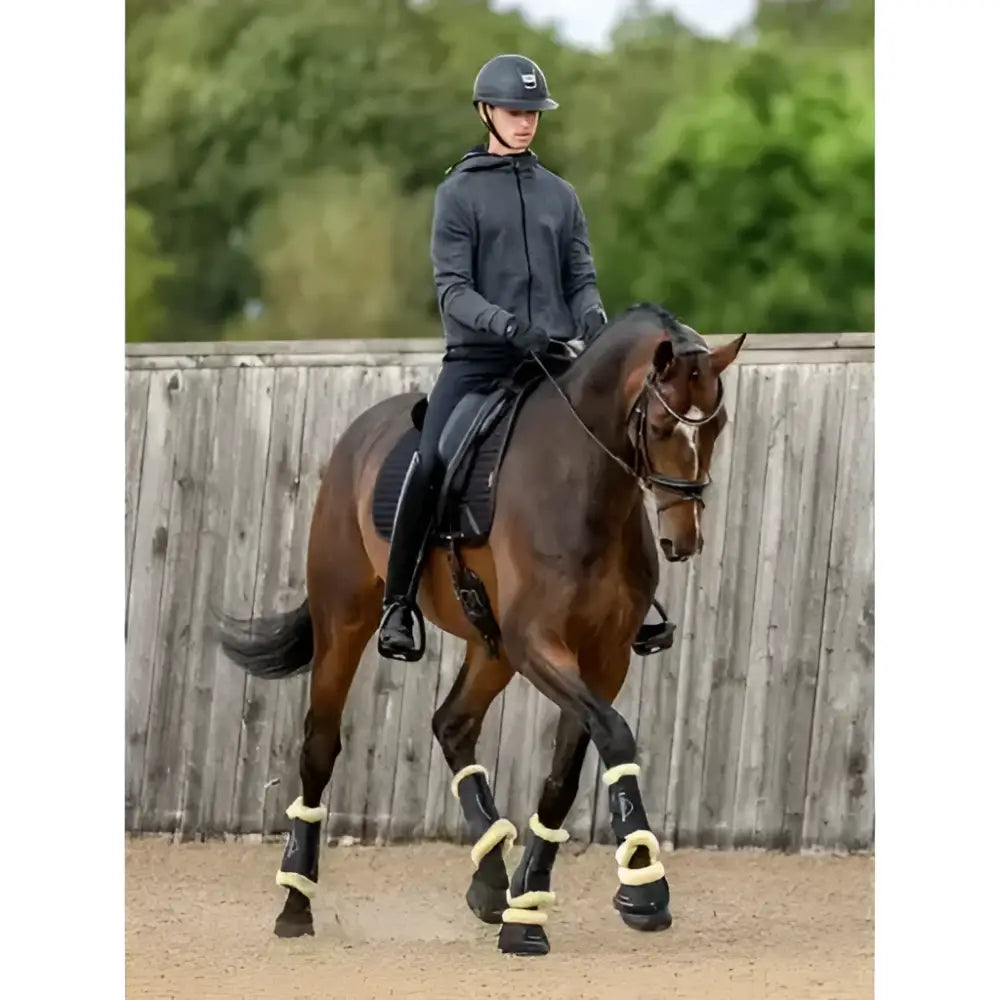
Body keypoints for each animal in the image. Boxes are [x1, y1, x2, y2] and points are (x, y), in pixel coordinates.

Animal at [217, 302, 745, 956]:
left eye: (716, 427)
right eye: (662, 428)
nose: (684, 539)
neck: (583, 485)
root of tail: (361, 433)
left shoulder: (603, 657)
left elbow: (567, 772)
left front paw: (527, 908)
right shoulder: (540, 644)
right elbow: (616, 735)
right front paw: (644, 888)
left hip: (491, 646)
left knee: (452, 724)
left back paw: (491, 882)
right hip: (348, 618)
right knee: (320, 744)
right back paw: (295, 903)